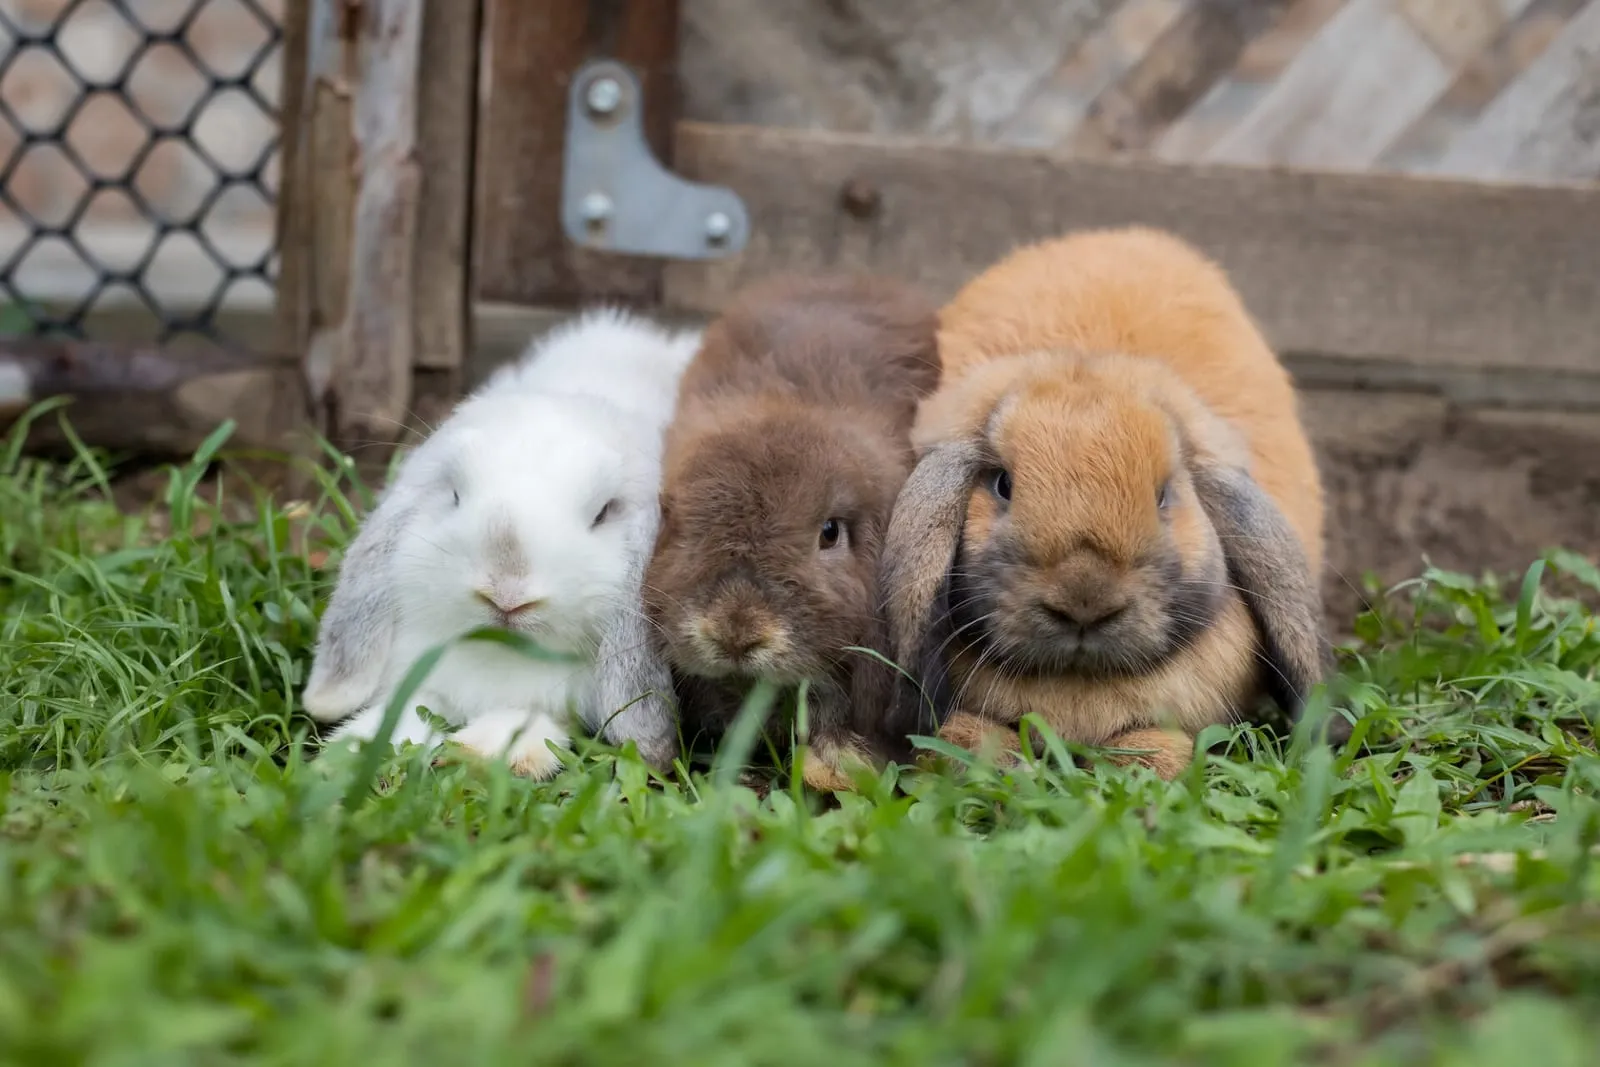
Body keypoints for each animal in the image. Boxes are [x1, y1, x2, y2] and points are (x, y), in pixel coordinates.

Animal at [301, 308, 702, 778]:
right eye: (455, 495)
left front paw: (487, 752)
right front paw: (354, 747)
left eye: (603, 513)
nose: (507, 593)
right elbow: (414, 705)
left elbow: (528, 715)